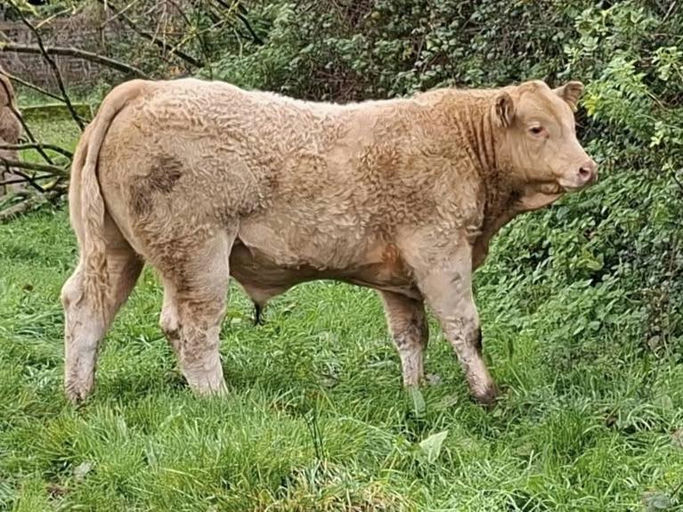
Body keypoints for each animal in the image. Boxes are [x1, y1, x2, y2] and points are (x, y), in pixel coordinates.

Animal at [61, 78, 597, 404]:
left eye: (571, 124)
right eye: (537, 128)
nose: (587, 168)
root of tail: (149, 87)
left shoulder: (398, 275)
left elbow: (411, 334)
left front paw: (416, 389)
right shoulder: (439, 251)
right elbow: (465, 327)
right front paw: (485, 392)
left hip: (116, 249)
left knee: (86, 306)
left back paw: (79, 394)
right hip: (197, 251)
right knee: (191, 326)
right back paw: (218, 400)